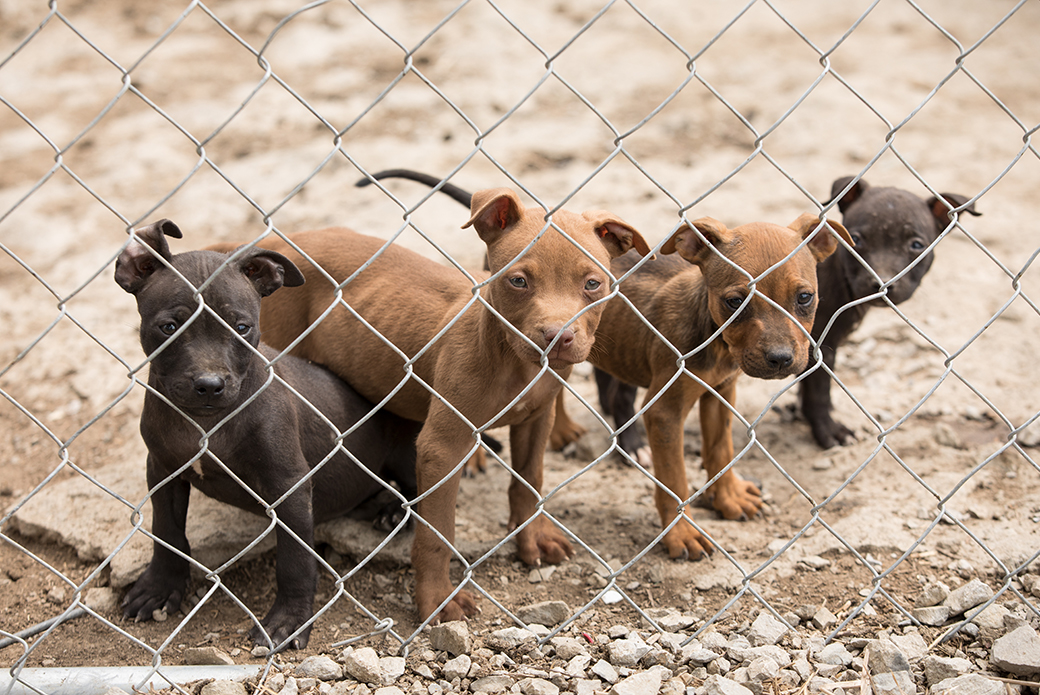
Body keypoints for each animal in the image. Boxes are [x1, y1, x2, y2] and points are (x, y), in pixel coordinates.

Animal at [118, 219, 418, 649]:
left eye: (242, 328)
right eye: (169, 327)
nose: (209, 386)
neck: (207, 423)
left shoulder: (289, 487)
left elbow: (294, 560)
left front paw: (289, 619)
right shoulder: (162, 471)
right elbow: (166, 531)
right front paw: (160, 587)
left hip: (406, 451)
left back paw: (395, 508)